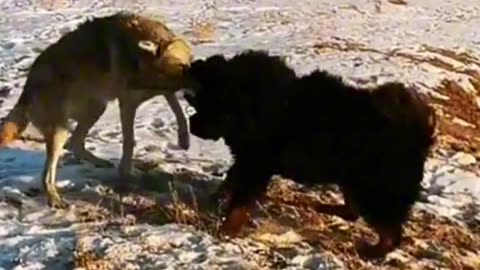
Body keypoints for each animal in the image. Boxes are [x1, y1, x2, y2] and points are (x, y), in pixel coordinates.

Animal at [0, 12, 195, 209]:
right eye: (140, 71)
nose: (129, 83)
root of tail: (26, 90)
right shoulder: (128, 103)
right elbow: (129, 141)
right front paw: (127, 173)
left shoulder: (160, 90)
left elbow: (177, 108)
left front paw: (184, 139)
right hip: (63, 130)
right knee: (49, 172)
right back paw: (55, 199)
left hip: (96, 109)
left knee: (75, 143)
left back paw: (101, 162)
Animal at [182, 49, 436, 258]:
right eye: (199, 102)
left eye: (210, 107)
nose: (192, 125)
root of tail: (418, 133)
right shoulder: (248, 160)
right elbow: (231, 180)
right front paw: (216, 197)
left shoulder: (256, 164)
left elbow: (240, 201)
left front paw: (226, 228)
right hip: (352, 180)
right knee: (353, 211)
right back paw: (323, 208)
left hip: (375, 188)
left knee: (389, 232)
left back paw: (372, 251)